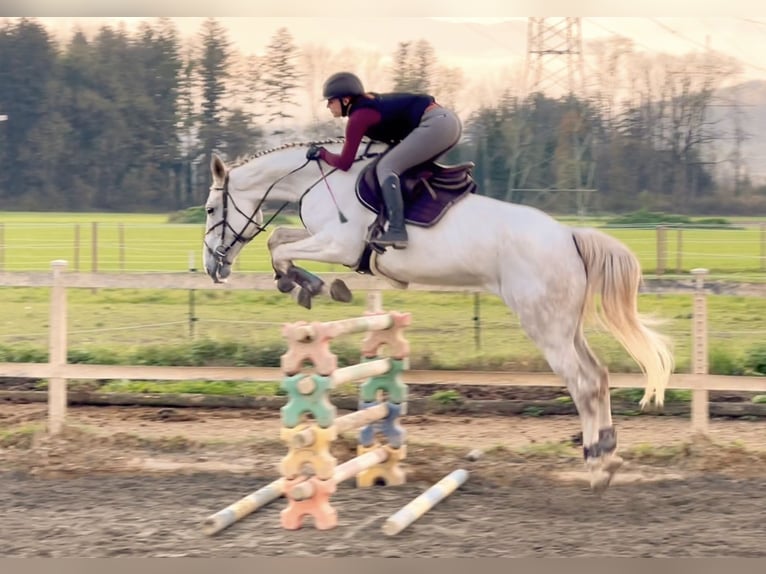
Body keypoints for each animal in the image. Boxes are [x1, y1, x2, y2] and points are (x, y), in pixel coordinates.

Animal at [204, 138, 680, 490]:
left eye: (210, 210)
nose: (214, 267)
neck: (317, 180)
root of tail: (568, 236)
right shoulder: (322, 240)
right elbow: (279, 239)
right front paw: (302, 283)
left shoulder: (338, 244)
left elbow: (280, 247)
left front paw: (311, 284)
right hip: (565, 326)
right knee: (597, 377)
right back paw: (605, 454)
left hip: (544, 326)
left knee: (582, 383)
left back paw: (598, 465)